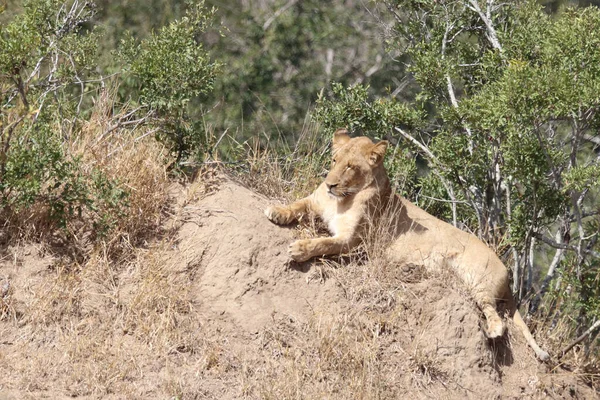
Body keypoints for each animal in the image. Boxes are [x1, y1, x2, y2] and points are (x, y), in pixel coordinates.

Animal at [264, 129, 552, 362]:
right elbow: (296, 205)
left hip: (475, 279)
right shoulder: (314, 203)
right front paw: (277, 212)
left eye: (350, 167)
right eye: (334, 161)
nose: (329, 184)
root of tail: (507, 273)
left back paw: (490, 330)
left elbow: (323, 243)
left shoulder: (353, 240)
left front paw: (299, 249)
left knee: (497, 318)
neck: (342, 199)